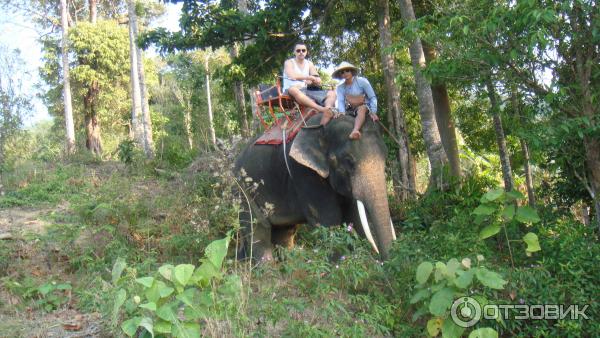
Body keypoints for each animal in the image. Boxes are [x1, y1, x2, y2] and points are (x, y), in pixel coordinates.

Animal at [236, 113, 398, 262]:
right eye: (348, 161)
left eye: (385, 156)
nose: (383, 261)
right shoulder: (303, 171)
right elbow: (328, 220)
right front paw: (339, 264)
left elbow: (353, 216)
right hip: (242, 189)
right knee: (258, 228)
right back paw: (268, 267)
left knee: (284, 231)